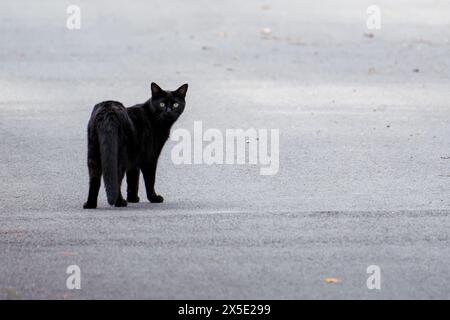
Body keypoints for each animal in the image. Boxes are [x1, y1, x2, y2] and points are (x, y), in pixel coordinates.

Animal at [83, 81, 187, 209]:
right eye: (162, 104)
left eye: (176, 104)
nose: (168, 111)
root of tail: (108, 111)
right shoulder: (150, 158)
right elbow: (150, 180)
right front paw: (154, 198)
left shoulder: (134, 159)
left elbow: (133, 179)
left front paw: (133, 198)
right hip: (119, 156)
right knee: (116, 178)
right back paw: (120, 202)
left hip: (93, 154)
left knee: (94, 180)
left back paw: (90, 204)